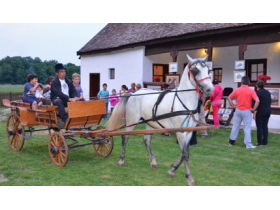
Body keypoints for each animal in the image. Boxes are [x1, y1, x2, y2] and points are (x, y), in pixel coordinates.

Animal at [107, 54, 214, 185]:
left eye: (208, 70)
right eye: (195, 70)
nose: (210, 90)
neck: (185, 102)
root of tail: (134, 93)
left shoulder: (188, 132)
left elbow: (184, 152)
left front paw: (172, 170)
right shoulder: (180, 132)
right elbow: (185, 154)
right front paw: (189, 178)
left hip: (150, 123)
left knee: (146, 140)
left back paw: (153, 162)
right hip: (132, 121)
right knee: (125, 137)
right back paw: (121, 160)